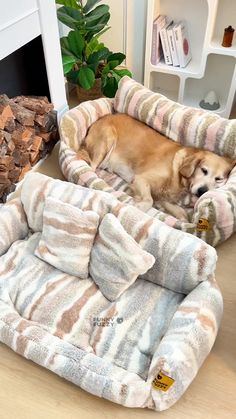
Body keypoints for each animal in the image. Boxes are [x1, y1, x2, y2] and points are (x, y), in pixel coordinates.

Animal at [80, 113, 235, 221]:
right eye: (204, 170)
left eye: (218, 179)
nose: (202, 191)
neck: (178, 175)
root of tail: (100, 119)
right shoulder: (140, 179)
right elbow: (149, 200)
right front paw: (138, 206)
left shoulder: (164, 198)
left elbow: (182, 214)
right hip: (106, 141)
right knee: (91, 167)